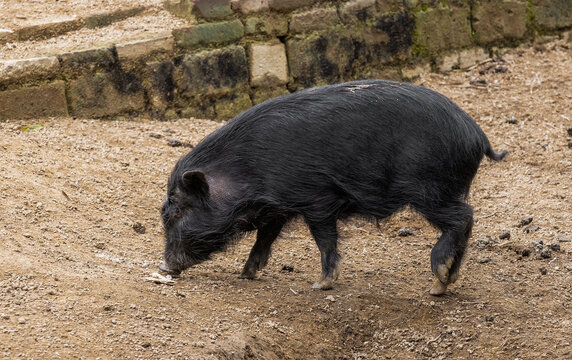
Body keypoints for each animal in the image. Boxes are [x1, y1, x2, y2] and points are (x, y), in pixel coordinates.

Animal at [160, 79, 504, 296]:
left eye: (177, 213)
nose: (165, 267)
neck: (245, 173)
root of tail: (477, 136)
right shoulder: (278, 207)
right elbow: (264, 238)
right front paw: (245, 274)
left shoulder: (317, 199)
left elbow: (324, 240)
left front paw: (320, 285)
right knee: (466, 221)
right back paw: (449, 280)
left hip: (430, 190)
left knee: (463, 217)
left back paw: (437, 284)